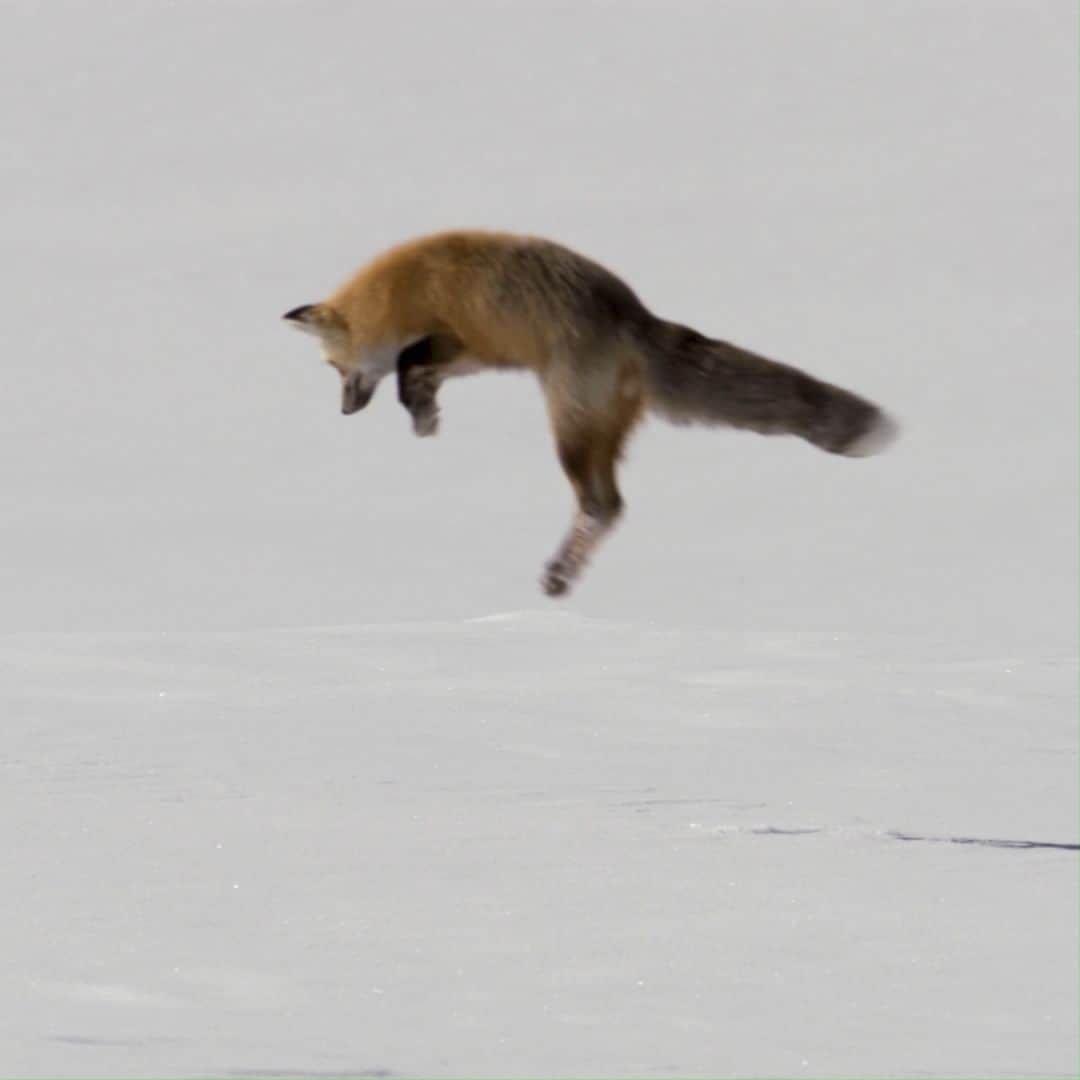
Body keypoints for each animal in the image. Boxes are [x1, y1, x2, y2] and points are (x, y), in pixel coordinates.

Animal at [282, 230, 898, 600]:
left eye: (335, 369)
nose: (344, 411)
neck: (404, 287)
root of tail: (634, 318)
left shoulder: (461, 333)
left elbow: (412, 362)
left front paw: (419, 409)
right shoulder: (477, 352)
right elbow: (421, 374)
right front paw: (424, 412)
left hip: (570, 430)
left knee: (604, 505)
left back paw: (559, 575)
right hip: (596, 427)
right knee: (612, 506)